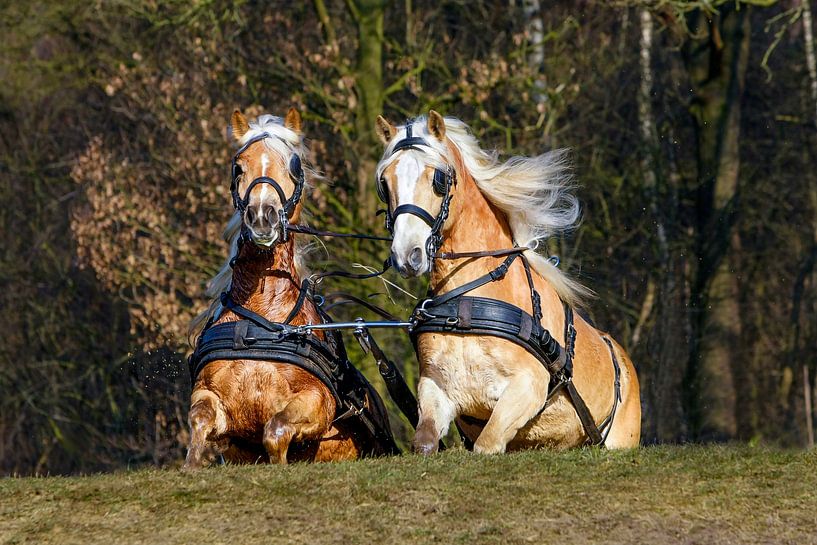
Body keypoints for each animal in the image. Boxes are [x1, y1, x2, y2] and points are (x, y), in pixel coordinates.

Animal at [186, 109, 402, 468]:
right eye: (238, 166)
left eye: (294, 165)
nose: (262, 217)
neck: (260, 319)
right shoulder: (209, 394)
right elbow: (199, 420)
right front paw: (195, 462)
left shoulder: (317, 402)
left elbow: (275, 430)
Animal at [372, 111, 640, 454]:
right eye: (384, 182)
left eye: (438, 179)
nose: (407, 254)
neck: (468, 303)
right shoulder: (435, 388)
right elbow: (424, 442)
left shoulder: (527, 387)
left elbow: (487, 444)